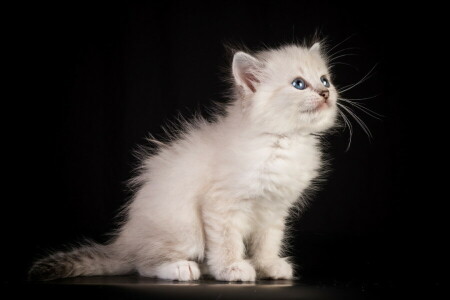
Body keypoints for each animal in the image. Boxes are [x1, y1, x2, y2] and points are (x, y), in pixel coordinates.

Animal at [29, 41, 338, 282]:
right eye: (299, 84)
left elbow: (267, 243)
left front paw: (268, 266)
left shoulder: (273, 211)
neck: (282, 141)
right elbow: (227, 243)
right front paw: (232, 269)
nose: (325, 93)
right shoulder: (221, 205)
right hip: (184, 227)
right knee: (143, 265)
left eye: (325, 80)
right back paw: (183, 269)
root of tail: (123, 242)